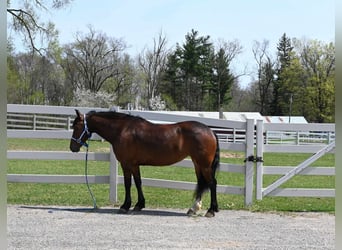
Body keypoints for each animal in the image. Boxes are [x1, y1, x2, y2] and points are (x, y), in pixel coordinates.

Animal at [70, 109, 219, 217]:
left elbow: (128, 184)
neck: (122, 130)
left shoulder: (126, 164)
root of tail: (210, 131)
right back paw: (193, 209)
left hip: (204, 165)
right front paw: (139, 205)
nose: (72, 148)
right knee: (201, 183)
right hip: (197, 164)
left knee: (212, 183)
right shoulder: (135, 165)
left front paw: (125, 206)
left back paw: (211, 210)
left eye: (76, 126)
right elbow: (138, 182)